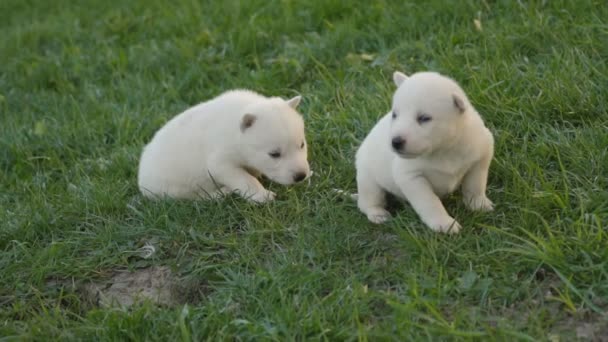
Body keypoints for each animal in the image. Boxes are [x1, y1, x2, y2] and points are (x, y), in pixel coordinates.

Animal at [140, 89, 312, 203]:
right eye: (274, 154)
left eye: (302, 144)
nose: (300, 175)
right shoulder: (220, 161)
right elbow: (243, 178)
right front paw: (262, 196)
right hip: (172, 188)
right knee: (196, 197)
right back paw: (222, 192)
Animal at [356, 71, 494, 234]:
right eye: (395, 115)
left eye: (424, 118)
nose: (395, 142)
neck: (443, 150)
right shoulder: (411, 177)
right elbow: (429, 201)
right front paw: (444, 223)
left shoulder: (481, 156)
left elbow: (475, 185)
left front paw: (479, 205)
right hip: (368, 180)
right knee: (368, 202)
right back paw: (378, 214)